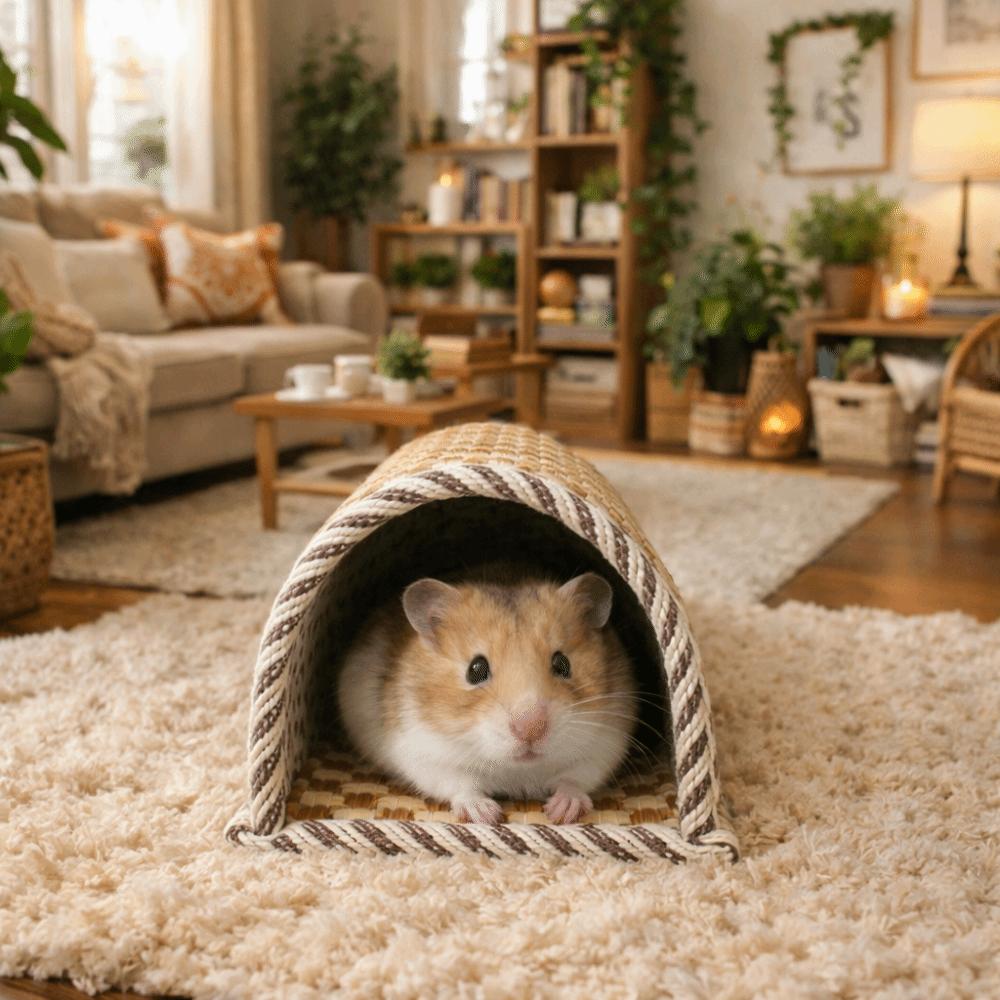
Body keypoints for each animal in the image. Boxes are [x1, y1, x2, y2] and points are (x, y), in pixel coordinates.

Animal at [336, 566, 638, 825]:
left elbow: (574, 779)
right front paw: (487, 815)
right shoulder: (420, 751)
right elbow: (460, 784)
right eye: (475, 669)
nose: (531, 729)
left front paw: (561, 812)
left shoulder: (605, 744)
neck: (518, 768)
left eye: (563, 664)